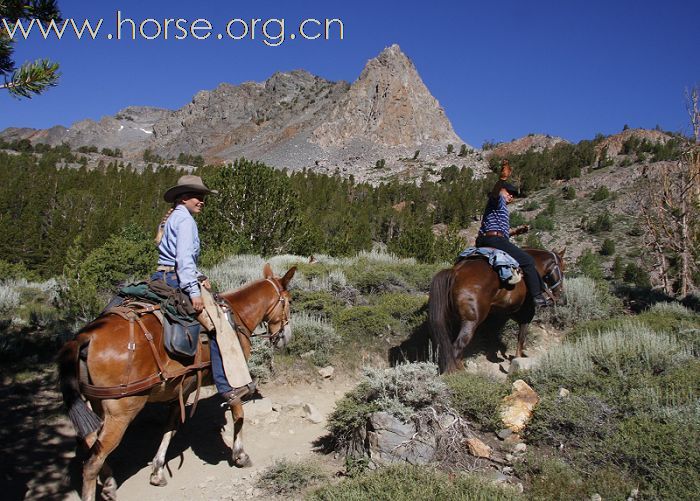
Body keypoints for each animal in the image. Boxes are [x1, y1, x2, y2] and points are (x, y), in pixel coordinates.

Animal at [56, 264, 292, 498]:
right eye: (289, 302)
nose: (286, 337)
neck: (237, 315)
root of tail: (85, 337)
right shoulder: (232, 375)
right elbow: (238, 412)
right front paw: (240, 455)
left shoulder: (183, 388)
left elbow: (170, 427)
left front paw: (158, 470)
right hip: (121, 411)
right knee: (92, 463)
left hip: (96, 403)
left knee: (89, 440)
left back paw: (109, 483)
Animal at [426, 249, 564, 372]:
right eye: (563, 269)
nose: (560, 293)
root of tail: (455, 272)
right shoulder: (526, 315)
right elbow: (521, 338)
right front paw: (517, 359)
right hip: (470, 322)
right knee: (457, 346)